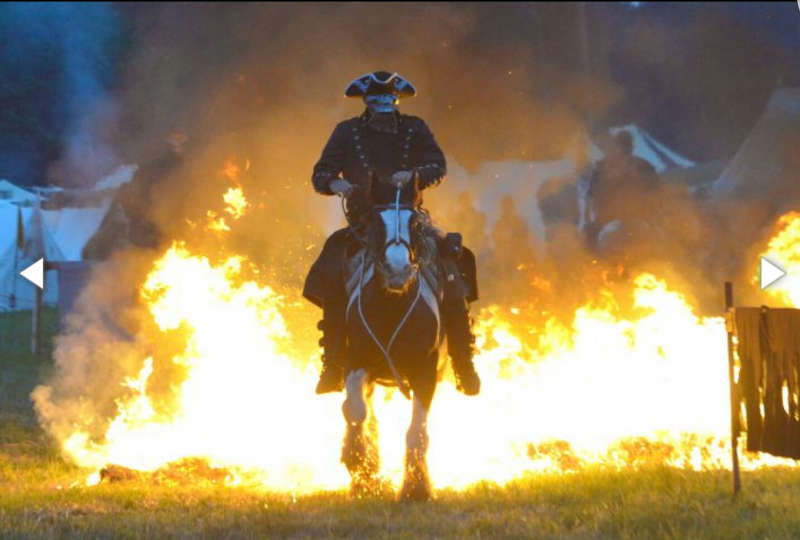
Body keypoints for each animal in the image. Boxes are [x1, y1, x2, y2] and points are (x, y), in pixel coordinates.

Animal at [340, 171, 444, 500]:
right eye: (376, 220)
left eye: (414, 223)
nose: (398, 269)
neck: (391, 307)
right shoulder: (356, 361)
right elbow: (357, 411)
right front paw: (360, 465)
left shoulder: (426, 371)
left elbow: (417, 431)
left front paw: (416, 487)